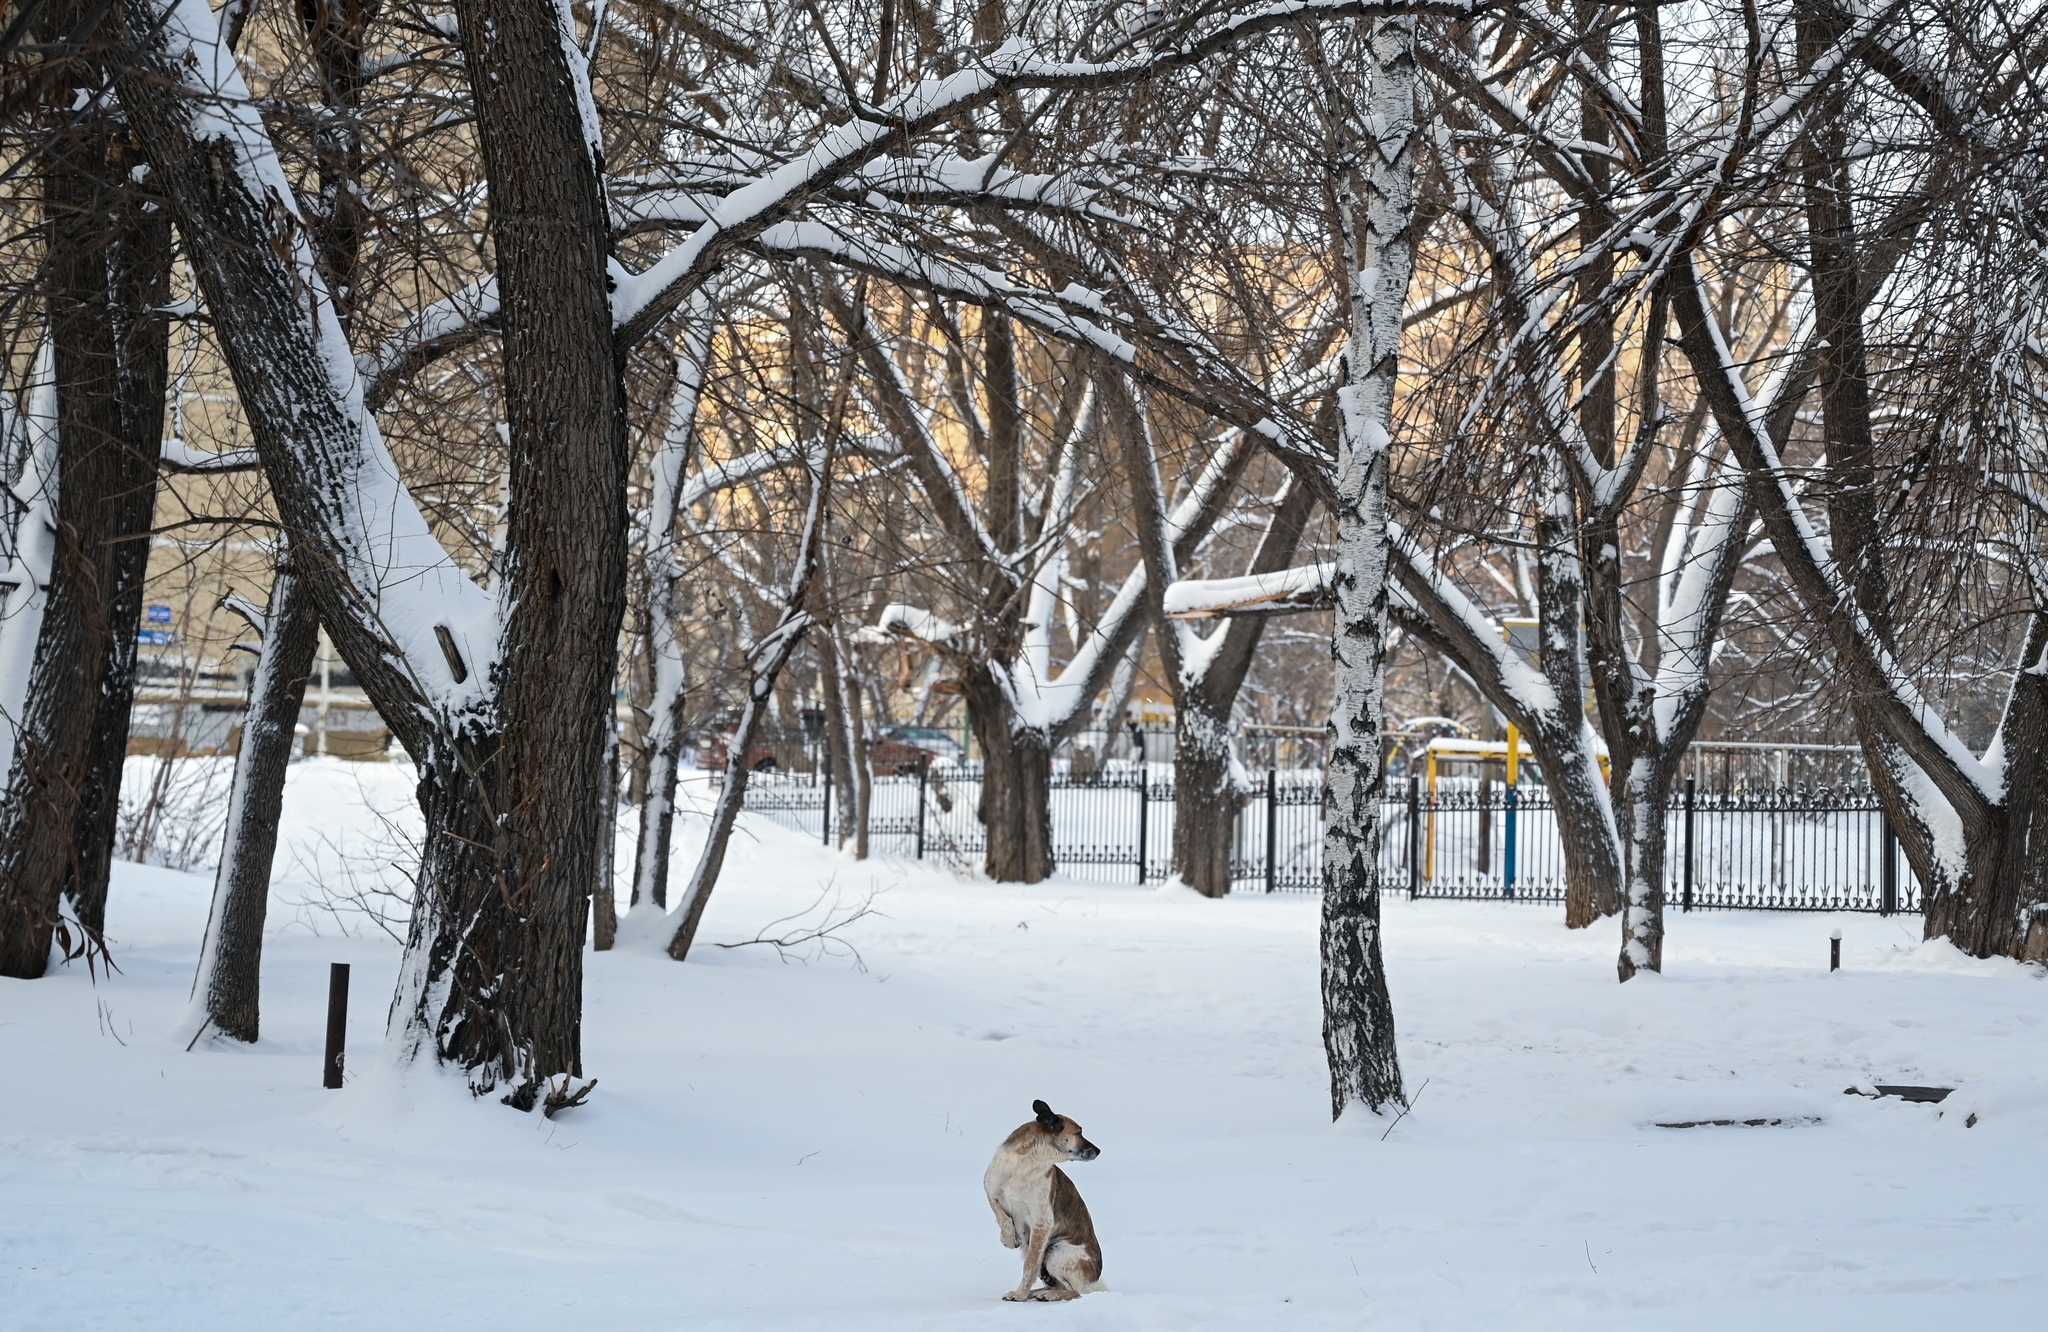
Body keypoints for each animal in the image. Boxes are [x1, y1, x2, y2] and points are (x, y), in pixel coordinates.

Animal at [987, 1098, 1114, 1303]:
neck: (1027, 1163)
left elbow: (1030, 1264)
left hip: (1057, 1249)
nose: (1099, 1150)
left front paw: (1019, 1295)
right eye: (1078, 1133)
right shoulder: (992, 1193)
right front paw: (1008, 1238)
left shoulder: (1042, 1221)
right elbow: (1003, 1218)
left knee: (1073, 1291)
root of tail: (1093, 1281)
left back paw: (1047, 1294)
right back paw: (1037, 1292)